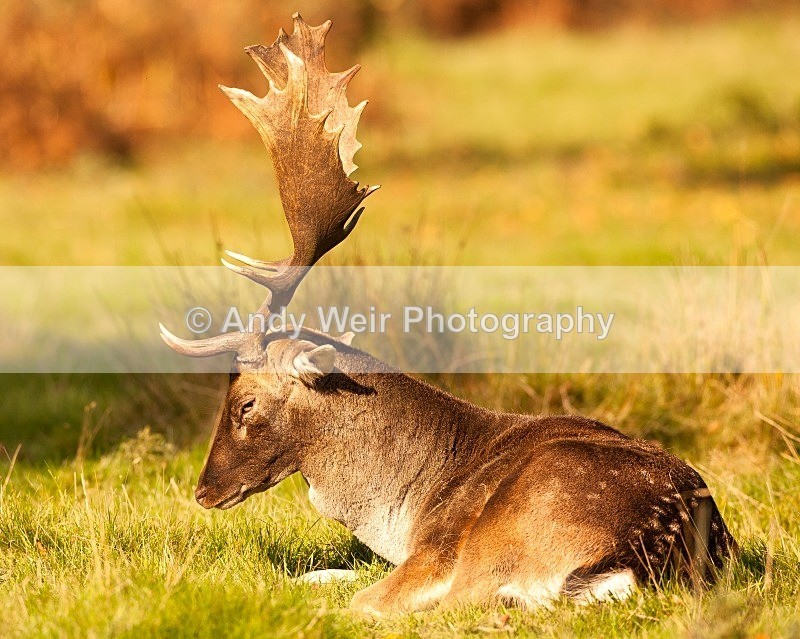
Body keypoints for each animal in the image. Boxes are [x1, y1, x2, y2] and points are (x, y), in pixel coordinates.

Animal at [159, 14, 737, 615]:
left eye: (245, 403)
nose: (203, 490)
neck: (403, 512)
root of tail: (649, 555)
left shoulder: (432, 552)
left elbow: (353, 595)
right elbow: (318, 574)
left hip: (504, 537)